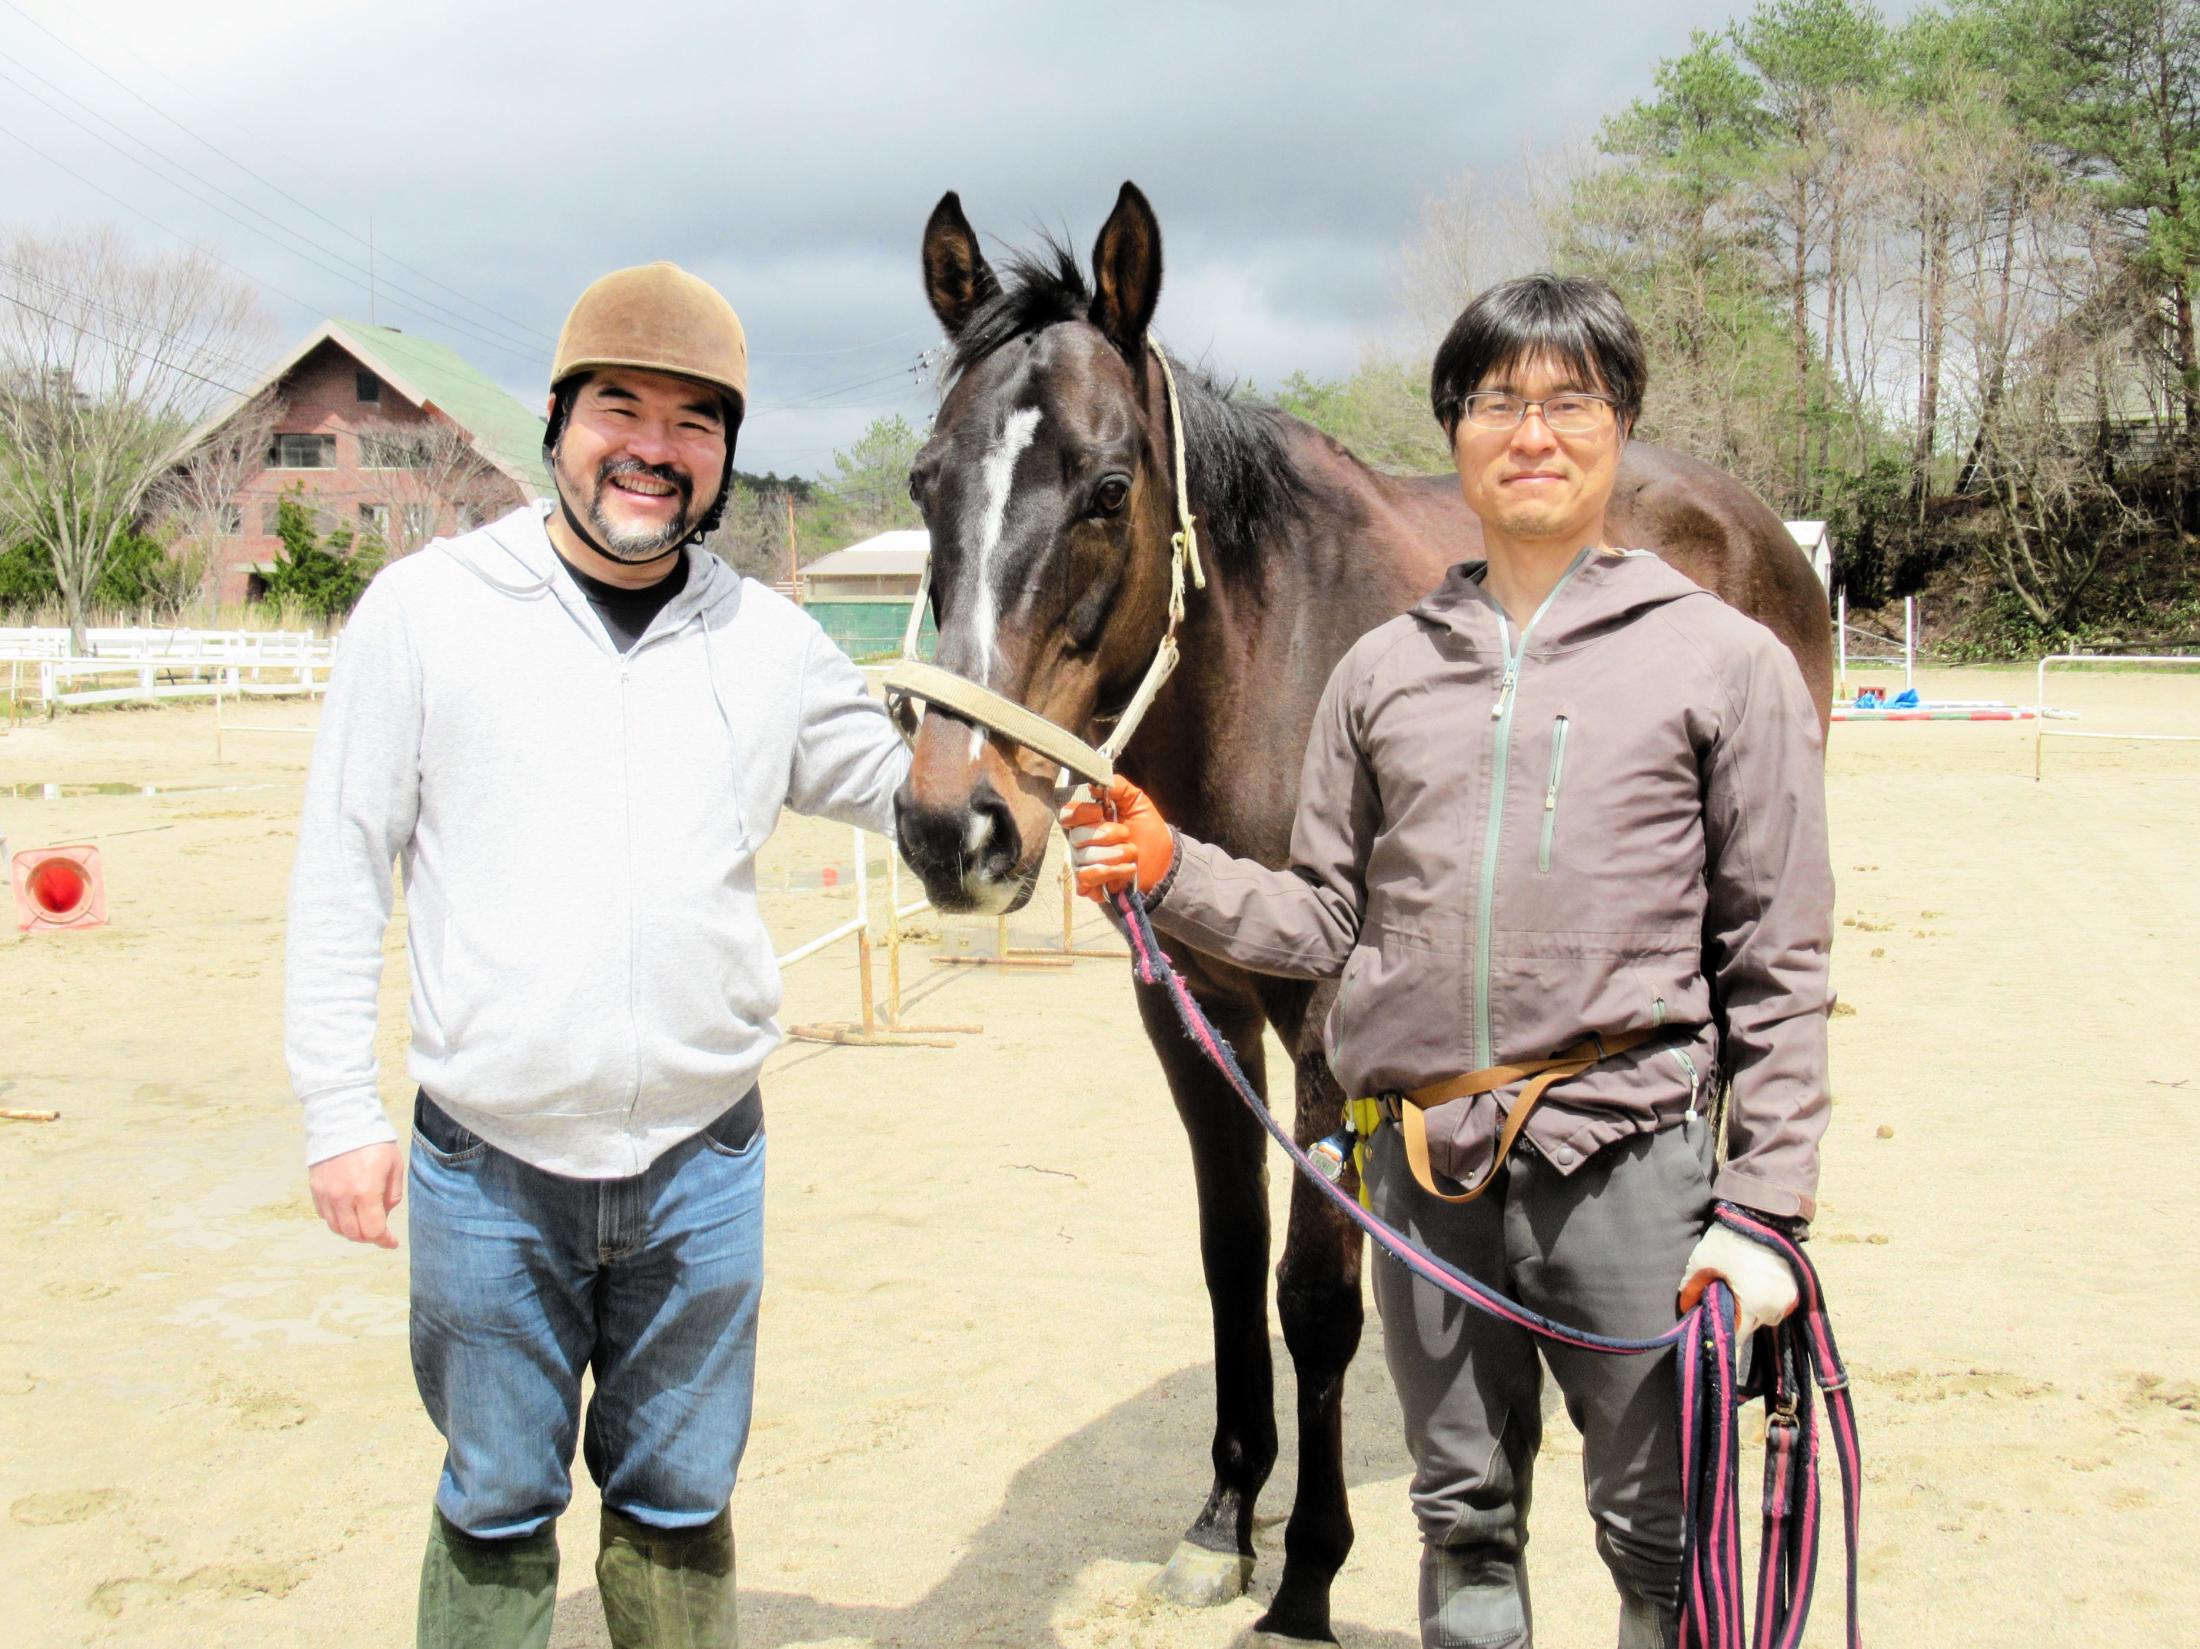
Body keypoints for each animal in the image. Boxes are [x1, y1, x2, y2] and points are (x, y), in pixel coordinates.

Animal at [884, 183, 1830, 1649]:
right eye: (929, 484)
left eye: (1108, 489)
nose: (954, 826)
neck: (1269, 661)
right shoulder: (1192, 1012)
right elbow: (1230, 1260)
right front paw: (1223, 1523)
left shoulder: (1336, 1029)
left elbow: (1316, 1296)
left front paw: (1306, 1579)